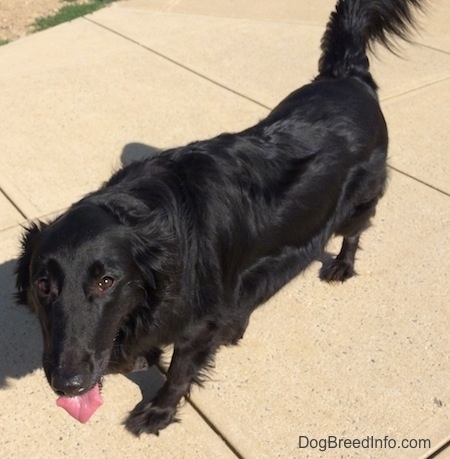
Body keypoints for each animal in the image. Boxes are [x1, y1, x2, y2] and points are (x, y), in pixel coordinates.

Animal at [14, 0, 422, 438]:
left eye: (106, 282)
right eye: (42, 286)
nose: (68, 384)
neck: (150, 215)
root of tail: (346, 75)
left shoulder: (200, 322)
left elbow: (179, 371)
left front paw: (158, 410)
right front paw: (144, 356)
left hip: (358, 200)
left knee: (355, 231)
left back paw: (342, 265)